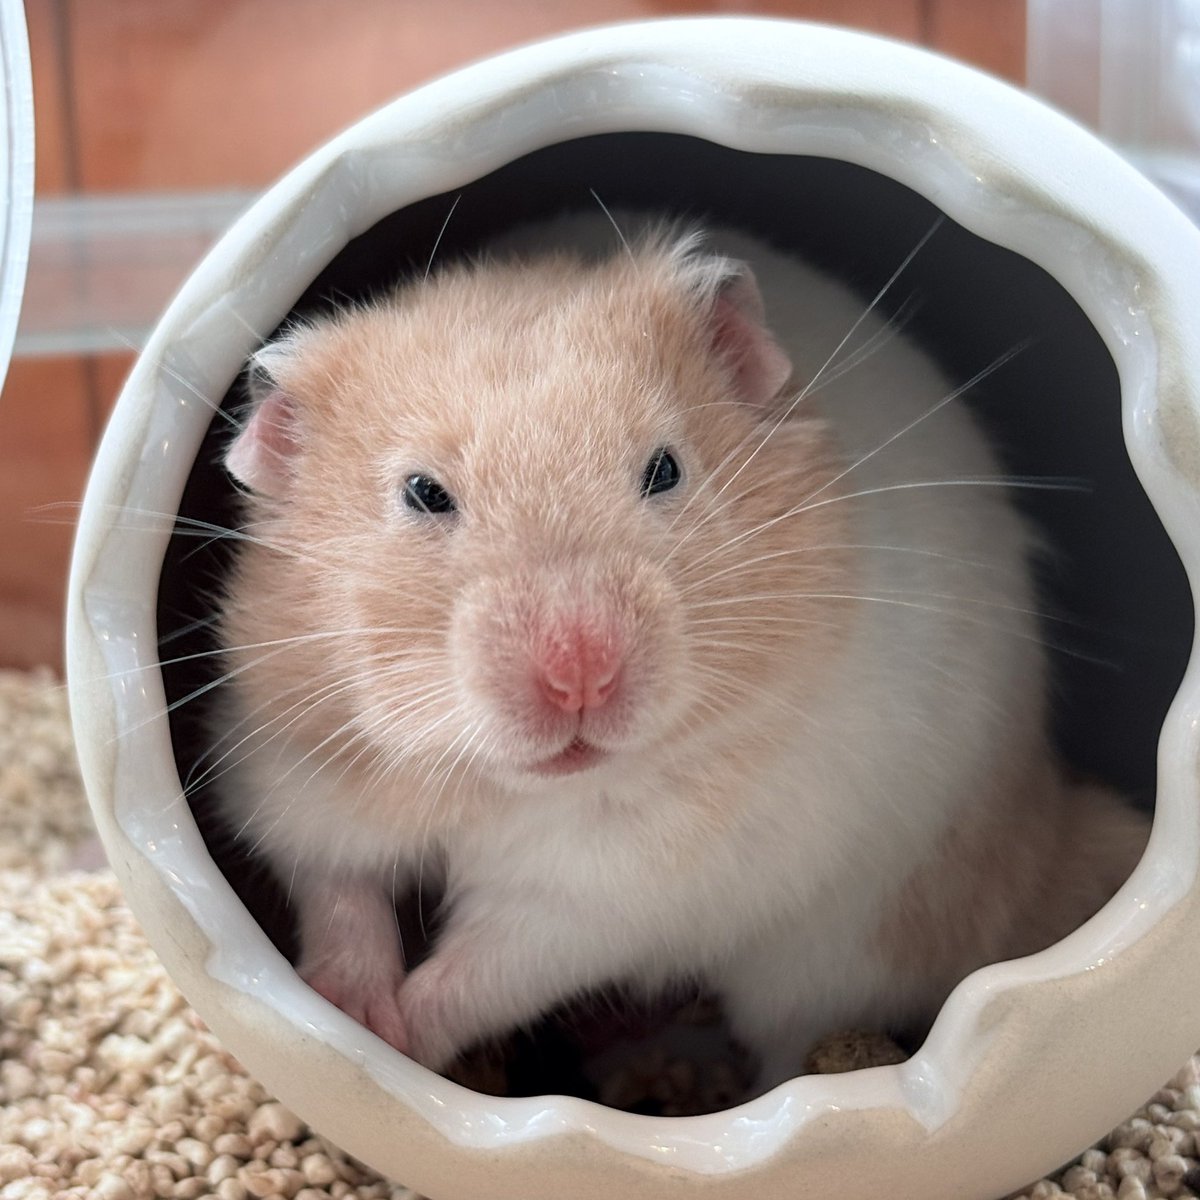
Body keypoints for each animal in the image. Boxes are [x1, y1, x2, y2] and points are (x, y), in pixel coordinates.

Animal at [212, 211, 1148, 1089]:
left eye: (664, 470)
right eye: (422, 494)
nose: (578, 677)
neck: (500, 788)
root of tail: (1043, 831)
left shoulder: (606, 898)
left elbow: (489, 970)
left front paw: (401, 1041)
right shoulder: (298, 784)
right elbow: (340, 894)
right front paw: (348, 1013)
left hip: (833, 959)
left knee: (787, 1058)